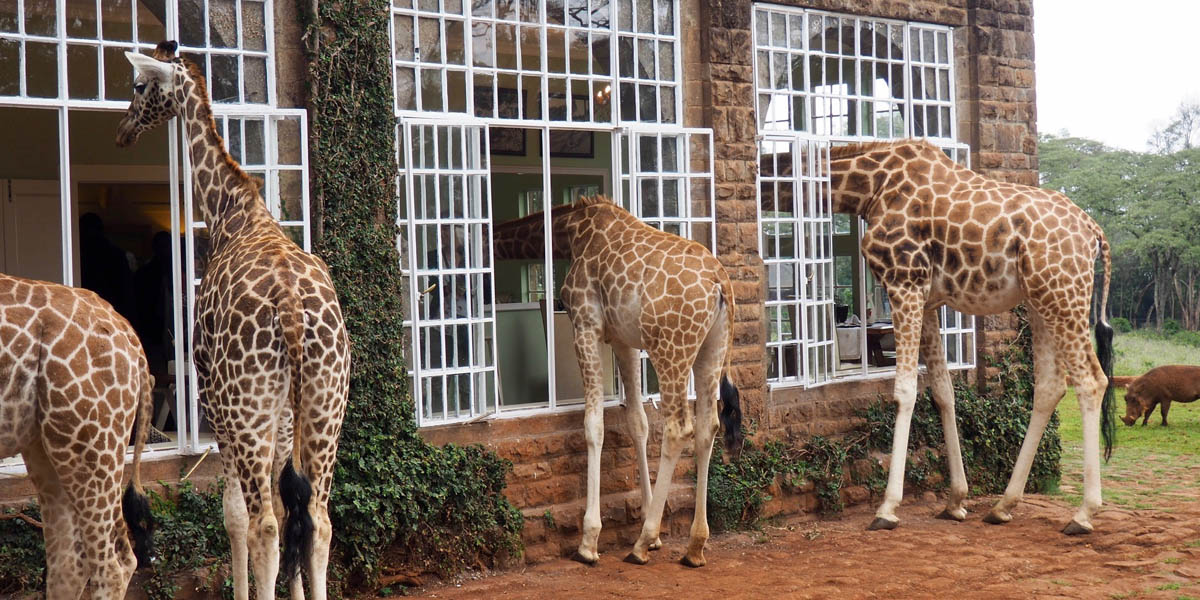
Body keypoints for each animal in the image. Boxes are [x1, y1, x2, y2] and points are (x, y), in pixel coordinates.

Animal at [116, 41, 351, 599]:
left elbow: (235, 516)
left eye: (139, 85)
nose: (123, 130)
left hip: (244, 409)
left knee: (264, 524)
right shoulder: (282, 418)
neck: (231, 212)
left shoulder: (214, 403)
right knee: (318, 519)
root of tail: (291, 307)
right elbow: (292, 511)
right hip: (325, 402)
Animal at [493, 195, 743, 567]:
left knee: (678, 428)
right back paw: (694, 546)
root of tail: (720, 283)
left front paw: (589, 541)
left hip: (670, 348)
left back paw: (641, 544)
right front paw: (653, 527)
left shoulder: (585, 323)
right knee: (707, 427)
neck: (570, 231)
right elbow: (637, 422)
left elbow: (593, 425)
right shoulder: (624, 340)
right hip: (712, 349)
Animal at [825, 138, 1116, 534]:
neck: (871, 188)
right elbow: (942, 391)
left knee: (1090, 380)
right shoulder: (928, 300)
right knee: (1050, 385)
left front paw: (887, 508)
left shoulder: (903, 282)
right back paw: (1002, 505)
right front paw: (955, 500)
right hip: (1041, 299)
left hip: (1063, 294)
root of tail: (1094, 231)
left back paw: (1083, 514)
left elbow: (905, 390)